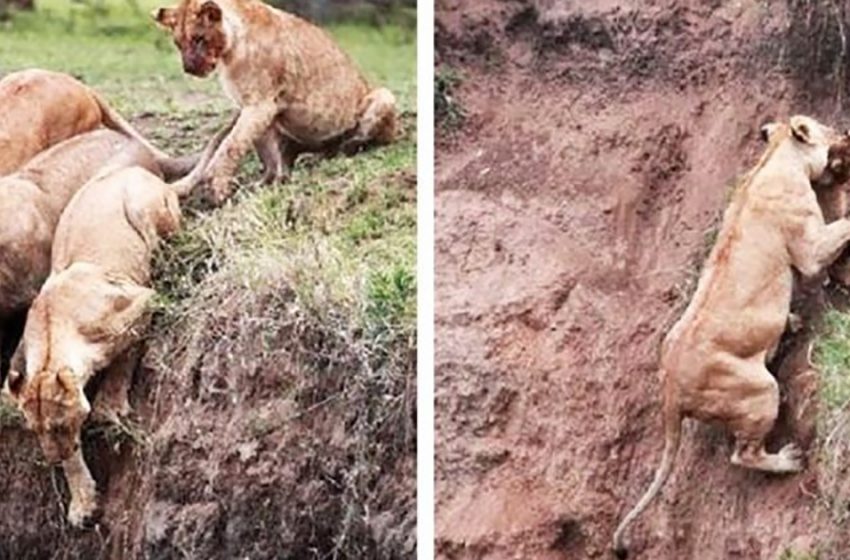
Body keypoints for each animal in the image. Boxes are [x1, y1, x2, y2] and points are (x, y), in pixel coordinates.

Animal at [5, 155, 181, 528]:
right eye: (35, 430)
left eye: (58, 426)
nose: (51, 459)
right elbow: (74, 456)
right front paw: (83, 502)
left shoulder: (142, 299)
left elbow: (124, 356)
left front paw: (109, 407)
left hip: (144, 210)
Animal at [154, 0, 400, 203]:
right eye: (178, 43)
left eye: (199, 39)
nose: (189, 68)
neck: (229, 52)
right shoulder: (255, 108)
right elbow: (256, 151)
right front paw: (261, 184)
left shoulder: (260, 104)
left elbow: (230, 145)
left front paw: (216, 188)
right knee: (285, 162)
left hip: (384, 95)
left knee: (368, 139)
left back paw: (343, 146)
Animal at [612, 115, 848, 556]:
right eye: (829, 131)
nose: (846, 135)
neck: (774, 159)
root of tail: (670, 391)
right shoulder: (809, 247)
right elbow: (840, 229)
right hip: (758, 391)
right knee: (744, 454)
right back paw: (788, 459)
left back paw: (791, 324)